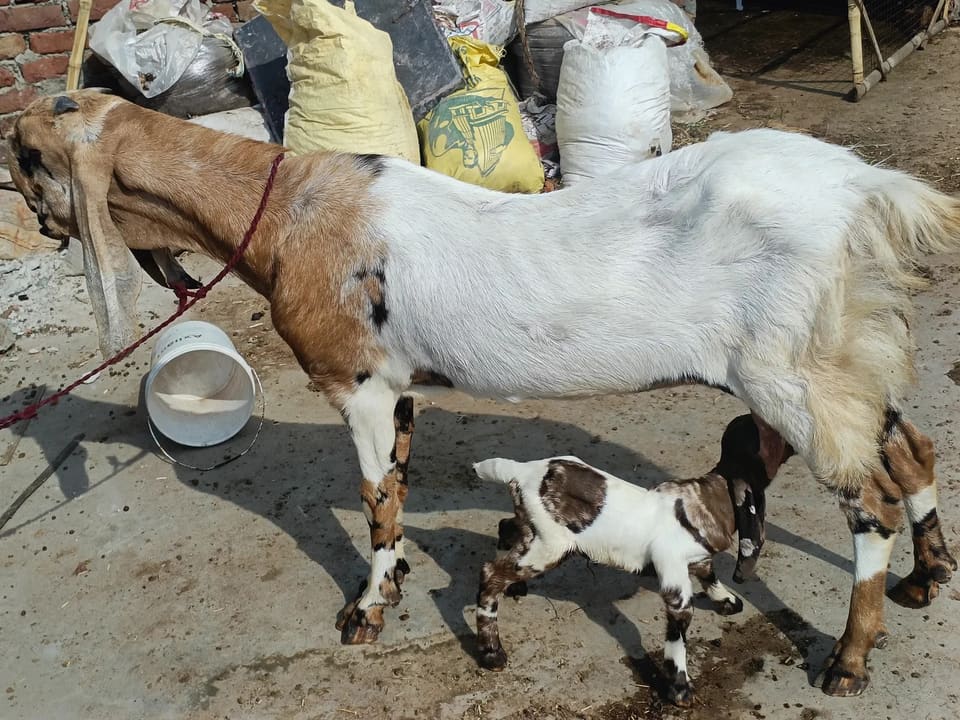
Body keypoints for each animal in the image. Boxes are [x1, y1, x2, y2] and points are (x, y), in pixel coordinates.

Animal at [473, 415, 775, 706]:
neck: (700, 502)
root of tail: (521, 470)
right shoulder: (674, 579)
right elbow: (679, 630)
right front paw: (680, 690)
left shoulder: (697, 558)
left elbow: (709, 572)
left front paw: (728, 601)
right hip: (551, 547)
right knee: (490, 574)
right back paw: (492, 653)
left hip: (532, 530)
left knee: (506, 529)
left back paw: (515, 587)